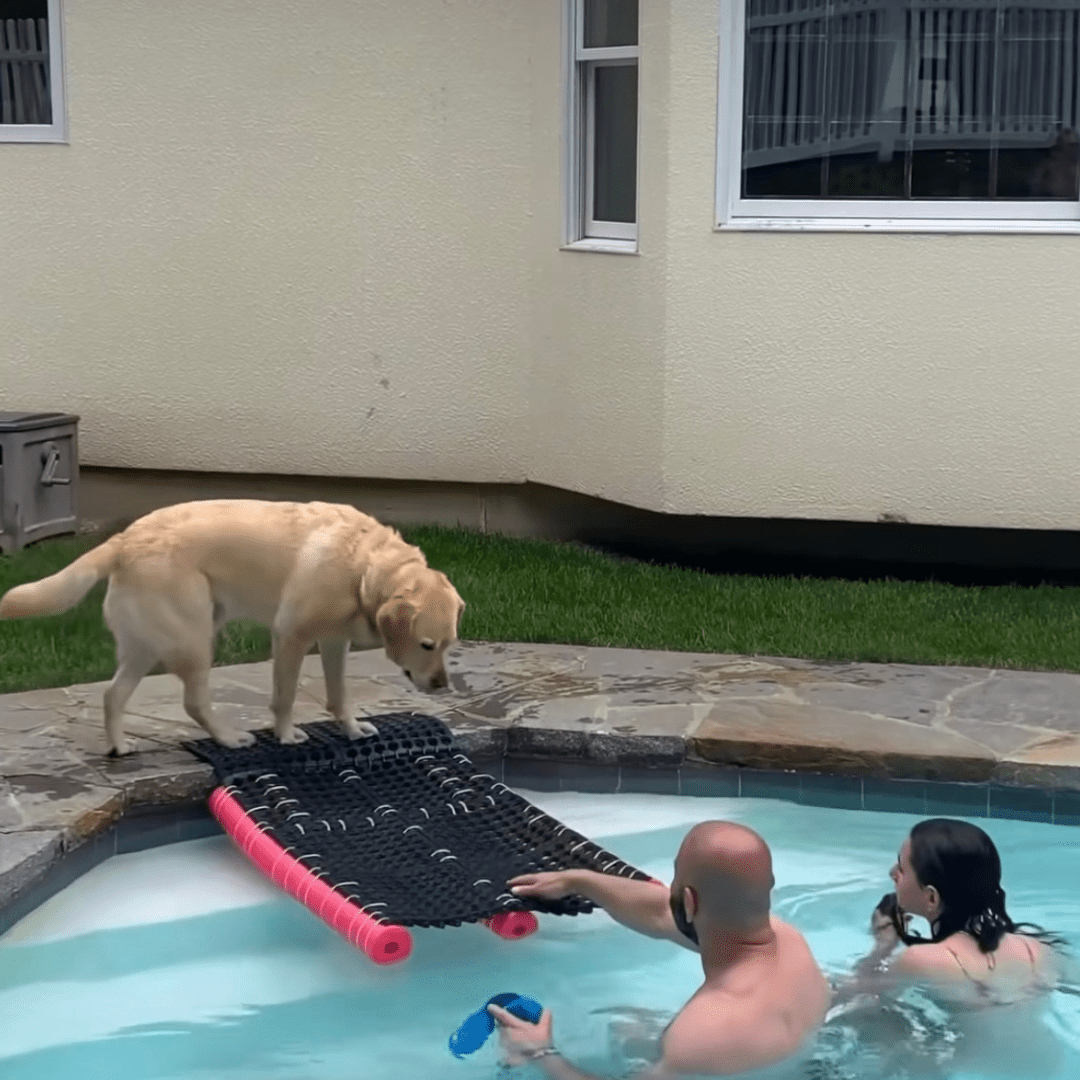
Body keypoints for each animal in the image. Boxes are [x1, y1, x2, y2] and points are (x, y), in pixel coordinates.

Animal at [0, 501, 464, 756]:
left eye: (449, 645)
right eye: (426, 645)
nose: (443, 686)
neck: (364, 566)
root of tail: (124, 539)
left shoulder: (334, 643)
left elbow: (339, 696)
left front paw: (351, 730)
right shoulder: (291, 635)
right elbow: (285, 697)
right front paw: (287, 736)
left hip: (148, 645)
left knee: (113, 694)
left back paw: (119, 746)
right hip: (196, 637)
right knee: (194, 702)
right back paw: (229, 738)